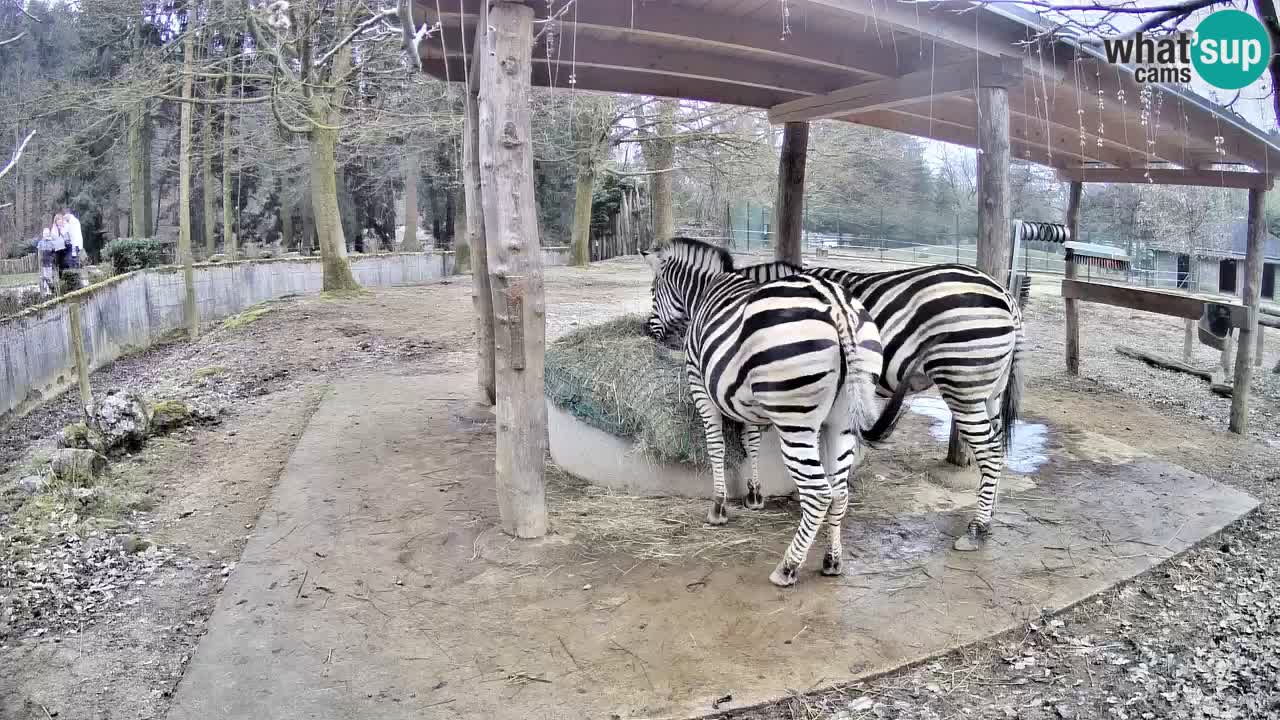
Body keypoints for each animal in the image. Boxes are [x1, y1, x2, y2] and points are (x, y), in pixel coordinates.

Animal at [640, 235, 911, 584]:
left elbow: (717, 446)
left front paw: (719, 507)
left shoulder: (701, 385)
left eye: (652, 291)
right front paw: (755, 494)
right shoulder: (746, 399)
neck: (706, 289)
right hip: (841, 421)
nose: (646, 331)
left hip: (795, 420)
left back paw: (788, 567)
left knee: (818, 493)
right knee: (839, 493)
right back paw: (832, 561)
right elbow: (751, 442)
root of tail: (836, 305)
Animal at [737, 257, 1024, 548]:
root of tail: (1005, 295)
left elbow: (767, 438)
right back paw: (990, 513)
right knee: (998, 444)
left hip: (962, 386)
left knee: (990, 451)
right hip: (991, 390)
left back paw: (977, 527)